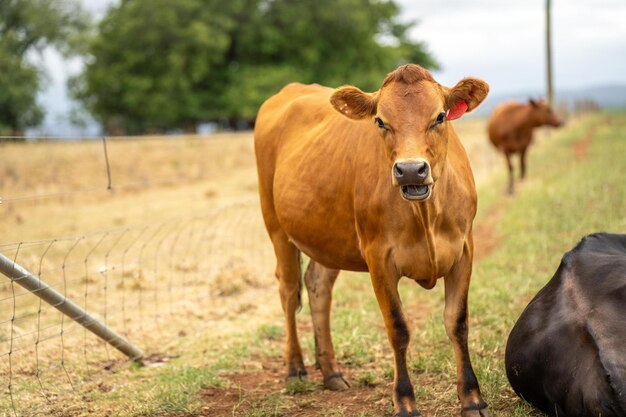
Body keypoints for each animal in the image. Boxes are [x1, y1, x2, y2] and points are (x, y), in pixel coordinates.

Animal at [254, 63, 488, 414]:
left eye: (440, 116)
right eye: (380, 120)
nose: (410, 170)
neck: (426, 215)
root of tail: (290, 90)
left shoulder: (463, 250)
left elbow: (457, 323)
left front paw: (472, 398)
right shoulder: (379, 259)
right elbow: (398, 328)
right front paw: (405, 401)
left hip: (328, 238)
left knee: (318, 287)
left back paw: (331, 371)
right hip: (276, 226)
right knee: (288, 291)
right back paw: (295, 367)